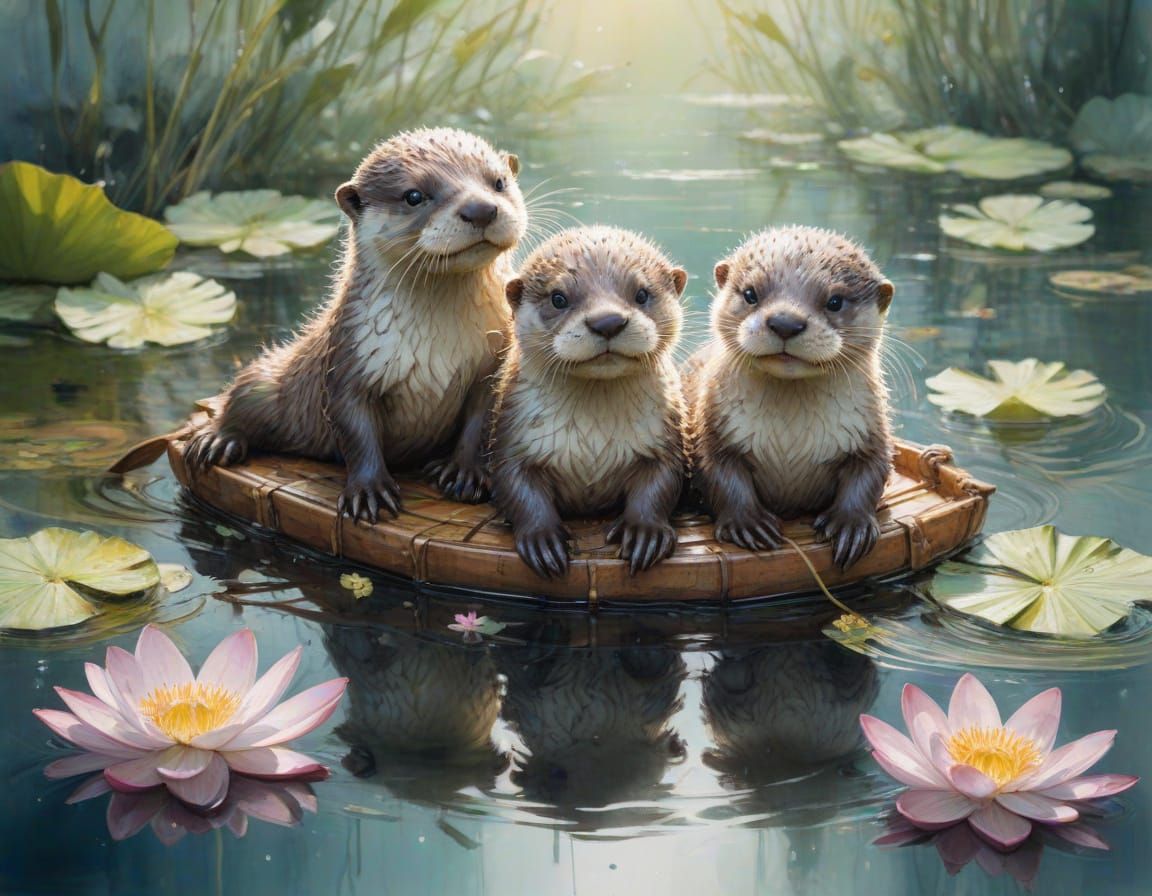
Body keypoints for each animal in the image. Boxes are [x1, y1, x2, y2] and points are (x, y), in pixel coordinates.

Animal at [186, 128, 527, 521]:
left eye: (498, 182)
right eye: (414, 196)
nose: (481, 209)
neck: (439, 344)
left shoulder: (492, 360)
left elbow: (482, 421)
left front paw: (465, 472)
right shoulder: (348, 356)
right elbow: (354, 429)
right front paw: (369, 490)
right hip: (270, 381)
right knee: (242, 392)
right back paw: (218, 438)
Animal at [489, 226, 688, 579]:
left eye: (642, 294)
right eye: (558, 298)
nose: (607, 321)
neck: (592, 443)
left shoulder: (665, 436)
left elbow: (663, 480)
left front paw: (645, 533)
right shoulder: (513, 434)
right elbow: (514, 483)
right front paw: (542, 539)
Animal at [688, 226, 895, 570]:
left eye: (835, 301)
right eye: (751, 294)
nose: (785, 322)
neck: (790, 440)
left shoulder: (871, 430)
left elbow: (871, 471)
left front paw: (851, 525)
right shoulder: (712, 428)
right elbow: (719, 473)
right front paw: (748, 523)